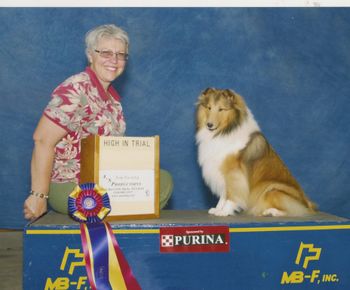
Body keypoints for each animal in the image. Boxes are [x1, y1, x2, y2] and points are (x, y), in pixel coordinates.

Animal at [196, 88, 316, 218]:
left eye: (221, 109)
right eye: (209, 107)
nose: (209, 125)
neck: (225, 131)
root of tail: (309, 205)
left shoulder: (234, 173)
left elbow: (231, 194)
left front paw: (224, 211)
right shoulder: (222, 172)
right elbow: (224, 194)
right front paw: (218, 209)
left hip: (272, 189)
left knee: (294, 210)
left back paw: (271, 211)